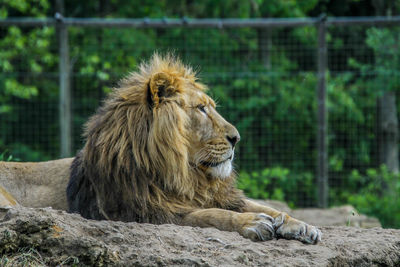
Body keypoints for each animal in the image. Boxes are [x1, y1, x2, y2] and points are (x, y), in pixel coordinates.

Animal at [66, 54, 322, 245]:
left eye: (211, 107)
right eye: (201, 108)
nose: (236, 138)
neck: (184, 173)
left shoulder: (220, 195)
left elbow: (266, 207)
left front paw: (300, 224)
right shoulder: (150, 213)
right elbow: (209, 214)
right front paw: (251, 222)